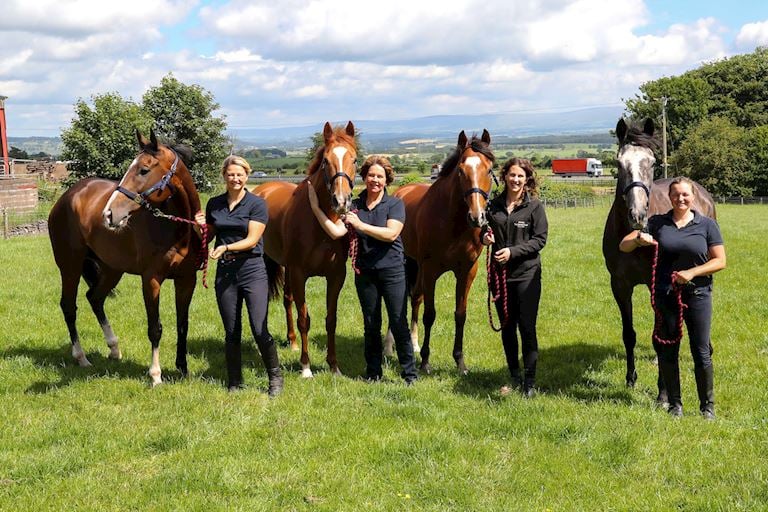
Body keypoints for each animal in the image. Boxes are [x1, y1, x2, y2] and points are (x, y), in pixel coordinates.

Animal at [47, 130, 204, 386]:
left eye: (144, 170)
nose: (109, 214)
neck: (177, 230)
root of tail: (67, 197)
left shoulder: (187, 279)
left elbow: (183, 324)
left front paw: (182, 369)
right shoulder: (151, 280)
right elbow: (155, 328)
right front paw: (155, 374)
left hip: (112, 269)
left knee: (95, 298)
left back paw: (114, 348)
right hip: (70, 267)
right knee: (69, 306)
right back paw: (81, 358)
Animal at [254, 120, 358, 376]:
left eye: (354, 159)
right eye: (326, 161)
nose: (341, 201)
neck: (320, 223)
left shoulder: (336, 276)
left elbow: (331, 319)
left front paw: (334, 365)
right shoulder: (300, 273)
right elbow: (304, 319)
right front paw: (306, 367)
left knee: (287, 299)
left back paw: (291, 341)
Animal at [392, 130, 496, 374]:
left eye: (489, 169)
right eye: (461, 170)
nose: (477, 217)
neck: (453, 223)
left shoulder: (467, 271)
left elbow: (460, 314)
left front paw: (460, 362)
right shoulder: (431, 270)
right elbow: (430, 315)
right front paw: (426, 363)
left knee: (416, 297)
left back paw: (414, 344)